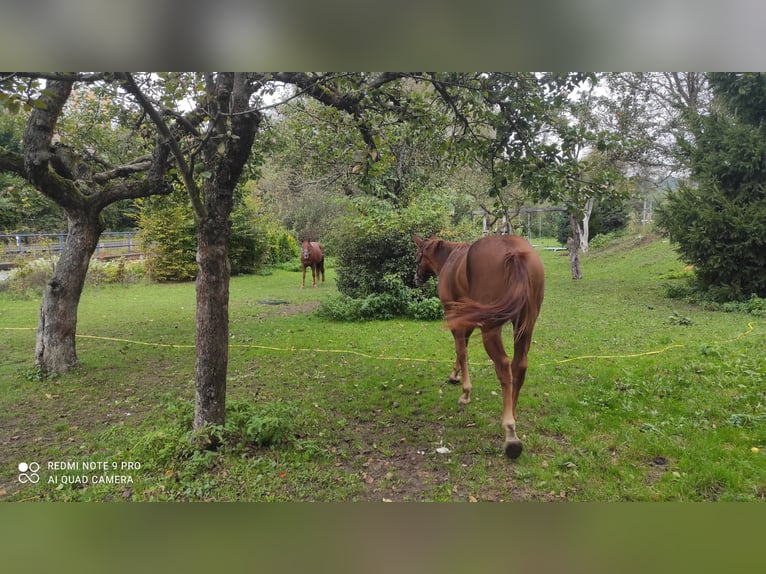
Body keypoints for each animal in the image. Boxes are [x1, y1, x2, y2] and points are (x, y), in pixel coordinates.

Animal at [414, 234, 544, 460]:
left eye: (418, 255)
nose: (416, 277)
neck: (450, 258)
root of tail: (514, 251)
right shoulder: (469, 318)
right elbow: (462, 347)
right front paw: (454, 374)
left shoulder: (453, 315)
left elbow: (461, 350)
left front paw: (465, 392)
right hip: (525, 326)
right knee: (519, 366)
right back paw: (512, 413)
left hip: (491, 328)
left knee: (504, 366)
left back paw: (510, 432)